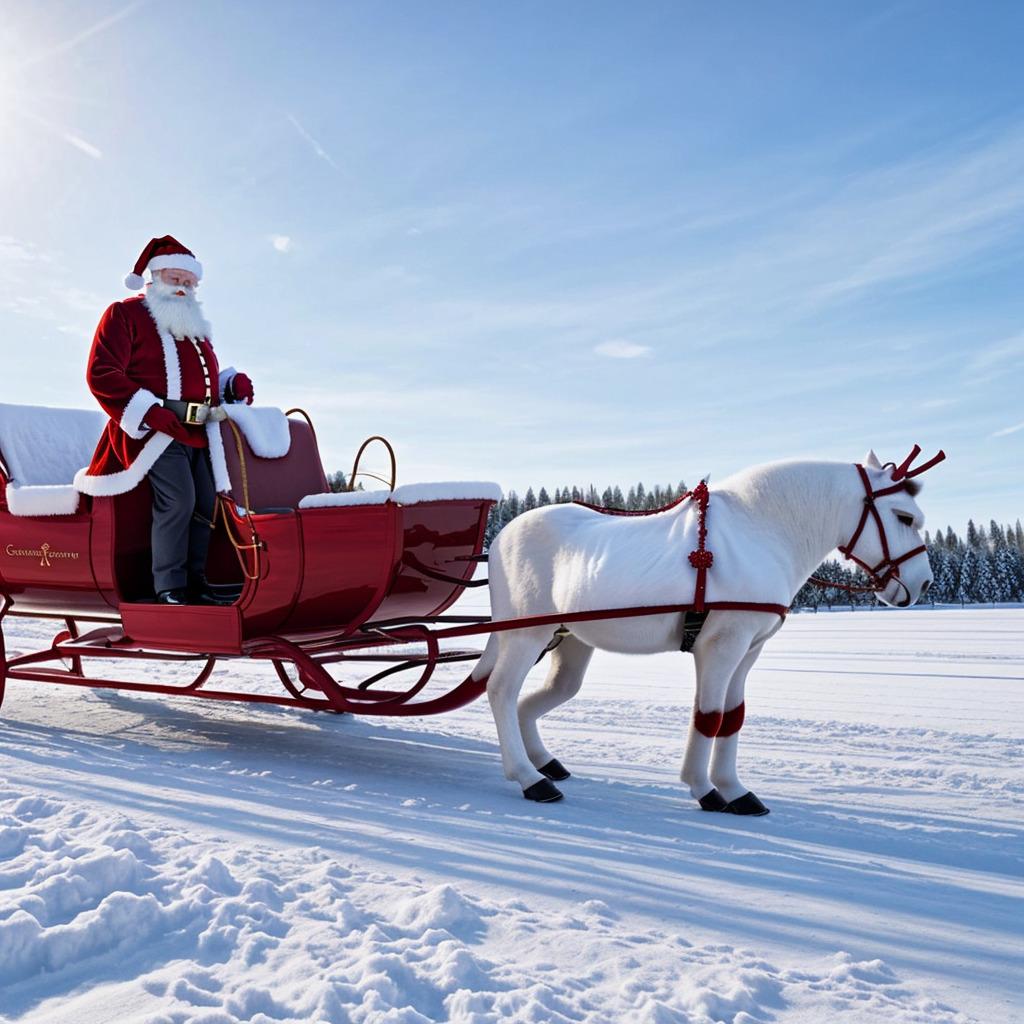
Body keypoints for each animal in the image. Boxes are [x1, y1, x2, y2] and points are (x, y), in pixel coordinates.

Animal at [468, 452, 937, 811]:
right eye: (904, 517)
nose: (924, 584)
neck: (761, 532)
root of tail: (504, 534)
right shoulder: (721, 645)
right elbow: (709, 716)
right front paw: (704, 787)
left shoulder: (749, 649)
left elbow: (733, 717)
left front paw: (735, 789)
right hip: (526, 634)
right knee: (502, 691)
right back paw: (529, 777)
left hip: (569, 642)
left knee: (536, 698)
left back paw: (542, 762)